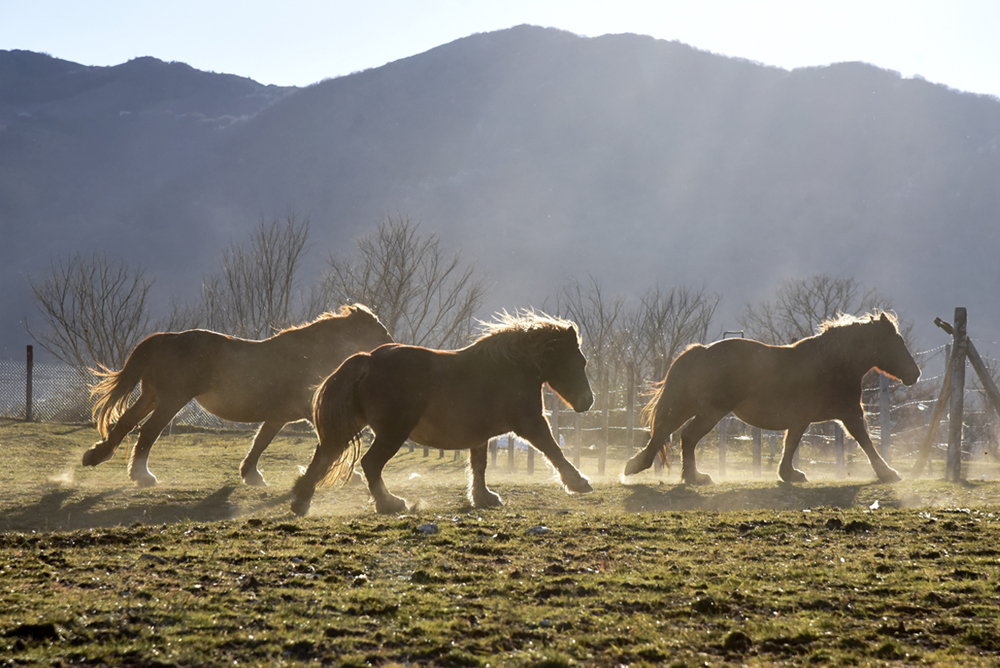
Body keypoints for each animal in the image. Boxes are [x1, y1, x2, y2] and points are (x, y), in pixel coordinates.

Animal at [84, 306, 392, 488]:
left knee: (126, 423)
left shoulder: (279, 416)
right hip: (172, 400)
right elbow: (330, 439)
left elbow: (261, 442)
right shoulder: (305, 410)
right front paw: (352, 475)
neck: (308, 355)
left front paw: (250, 474)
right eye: (380, 333)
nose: (390, 350)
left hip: (153, 397)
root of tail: (166, 338)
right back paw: (142, 476)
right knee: (148, 432)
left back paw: (97, 456)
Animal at [292, 310, 596, 516]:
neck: (510, 368)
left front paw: (483, 498)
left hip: (352, 427)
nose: (588, 401)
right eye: (579, 361)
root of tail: (368, 359)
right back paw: (390, 503)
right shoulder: (530, 423)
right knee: (370, 463)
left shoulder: (480, 436)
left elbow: (479, 466)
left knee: (324, 456)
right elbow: (553, 450)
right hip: (392, 433)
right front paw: (578, 483)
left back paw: (301, 501)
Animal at [624, 310, 920, 488]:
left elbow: (790, 445)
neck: (833, 363)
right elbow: (866, 442)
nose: (914, 374)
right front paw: (887, 473)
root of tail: (701, 351)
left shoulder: (803, 419)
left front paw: (789, 474)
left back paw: (645, 466)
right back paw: (692, 477)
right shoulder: (849, 414)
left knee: (667, 432)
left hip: (693, 407)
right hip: (710, 411)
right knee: (684, 436)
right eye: (897, 342)